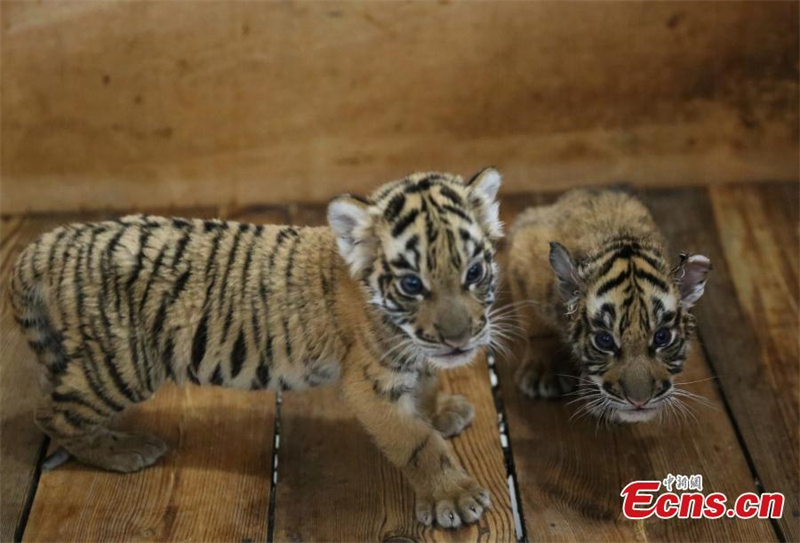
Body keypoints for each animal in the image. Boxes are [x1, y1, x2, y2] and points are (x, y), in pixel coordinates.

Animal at [9, 168, 504, 528]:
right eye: (412, 284)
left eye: (474, 272)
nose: (461, 339)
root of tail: (49, 243)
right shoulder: (370, 383)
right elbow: (417, 442)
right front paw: (453, 496)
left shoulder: (417, 354)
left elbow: (427, 381)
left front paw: (442, 411)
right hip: (123, 366)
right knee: (52, 415)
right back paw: (124, 452)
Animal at [507, 188, 711, 423]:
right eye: (604, 340)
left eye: (662, 337)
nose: (639, 401)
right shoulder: (523, 253)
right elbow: (536, 326)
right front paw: (542, 371)